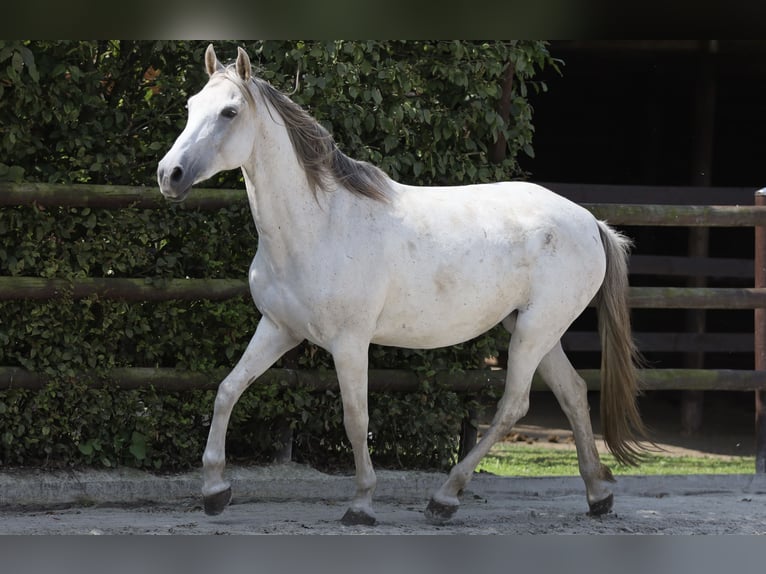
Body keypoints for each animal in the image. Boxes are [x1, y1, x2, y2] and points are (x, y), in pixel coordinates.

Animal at [157, 44, 648, 526]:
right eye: (191, 106)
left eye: (230, 111)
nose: (169, 174)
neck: (321, 225)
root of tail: (591, 223)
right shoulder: (279, 329)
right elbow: (227, 390)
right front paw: (215, 491)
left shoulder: (350, 342)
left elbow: (356, 419)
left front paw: (361, 504)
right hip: (535, 330)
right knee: (573, 393)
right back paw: (598, 495)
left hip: (533, 332)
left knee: (514, 406)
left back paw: (445, 498)